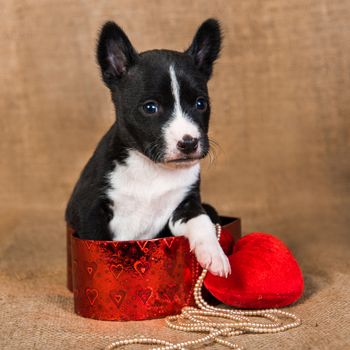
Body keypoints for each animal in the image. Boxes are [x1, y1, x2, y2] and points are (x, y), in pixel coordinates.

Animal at [66, 18, 230, 276]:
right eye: (150, 107)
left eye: (201, 104)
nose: (188, 142)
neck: (151, 168)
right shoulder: (90, 211)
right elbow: (97, 245)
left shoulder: (185, 205)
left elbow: (201, 220)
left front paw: (215, 254)